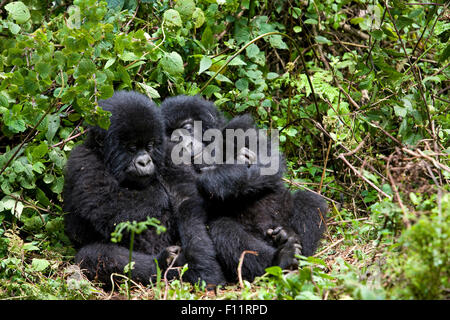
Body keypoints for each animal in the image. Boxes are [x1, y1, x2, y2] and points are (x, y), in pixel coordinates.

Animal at [62, 90, 224, 288]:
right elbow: (110, 207)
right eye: (131, 148)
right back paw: (163, 262)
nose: (145, 162)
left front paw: (203, 266)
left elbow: (187, 202)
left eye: (150, 146)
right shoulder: (82, 161)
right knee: (94, 256)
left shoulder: (169, 152)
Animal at [161, 95, 326, 282]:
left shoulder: (240, 126)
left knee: (311, 201)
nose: (180, 141)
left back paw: (296, 247)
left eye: (187, 128)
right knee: (223, 229)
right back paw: (280, 259)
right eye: (170, 133)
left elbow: (267, 161)